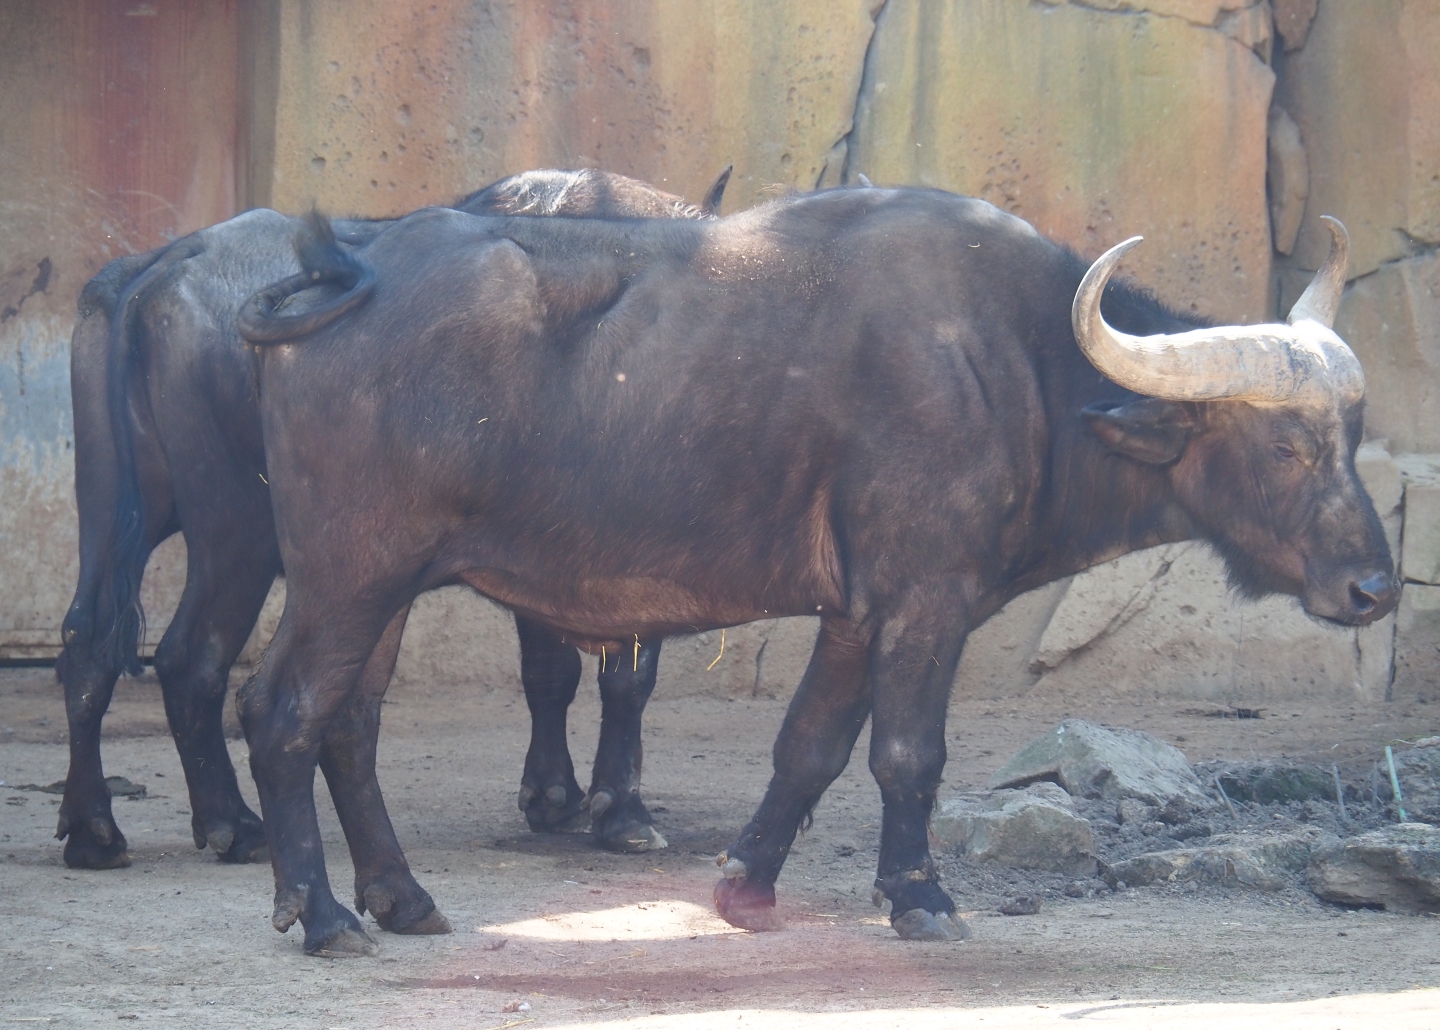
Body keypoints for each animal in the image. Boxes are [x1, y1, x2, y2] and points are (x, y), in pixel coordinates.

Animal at [57, 168, 729, 899]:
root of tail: (167, 263)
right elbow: (624, 676)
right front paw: (622, 813)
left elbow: (551, 670)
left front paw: (554, 795)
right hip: (236, 531)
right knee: (190, 658)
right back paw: (233, 824)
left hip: (115, 510)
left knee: (87, 645)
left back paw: (95, 829)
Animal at [237, 186, 1395, 956]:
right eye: (1286, 446)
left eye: (1351, 432)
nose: (1375, 590)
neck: (1015, 365)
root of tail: (347, 272)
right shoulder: (928, 601)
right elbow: (908, 754)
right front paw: (921, 898)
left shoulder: (854, 615)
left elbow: (809, 749)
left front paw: (746, 886)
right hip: (350, 576)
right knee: (284, 711)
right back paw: (325, 914)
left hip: (383, 589)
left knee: (349, 726)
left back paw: (400, 899)